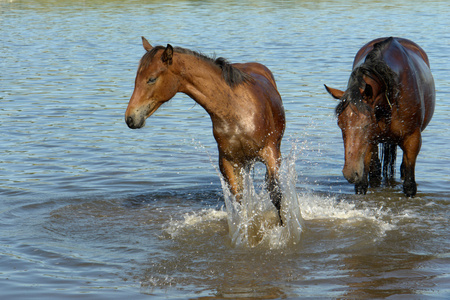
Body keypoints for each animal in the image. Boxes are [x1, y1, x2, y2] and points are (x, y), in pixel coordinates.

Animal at [124, 37, 284, 220]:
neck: (236, 112)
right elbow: (239, 201)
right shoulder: (229, 163)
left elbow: (276, 196)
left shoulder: (271, 154)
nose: (130, 118)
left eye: (151, 79)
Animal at [326, 37, 434, 197]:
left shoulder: (412, 139)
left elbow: (409, 186)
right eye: (340, 124)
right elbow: (362, 184)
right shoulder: (369, 143)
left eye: (365, 125)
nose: (350, 173)